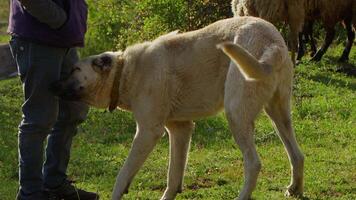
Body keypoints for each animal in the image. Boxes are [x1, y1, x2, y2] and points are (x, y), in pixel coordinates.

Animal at [54, 16, 304, 199]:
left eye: (75, 69)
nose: (51, 85)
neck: (125, 71)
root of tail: (272, 41)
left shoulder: (147, 132)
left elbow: (122, 174)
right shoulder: (180, 130)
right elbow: (173, 176)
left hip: (236, 115)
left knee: (253, 164)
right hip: (278, 116)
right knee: (297, 155)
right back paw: (295, 189)